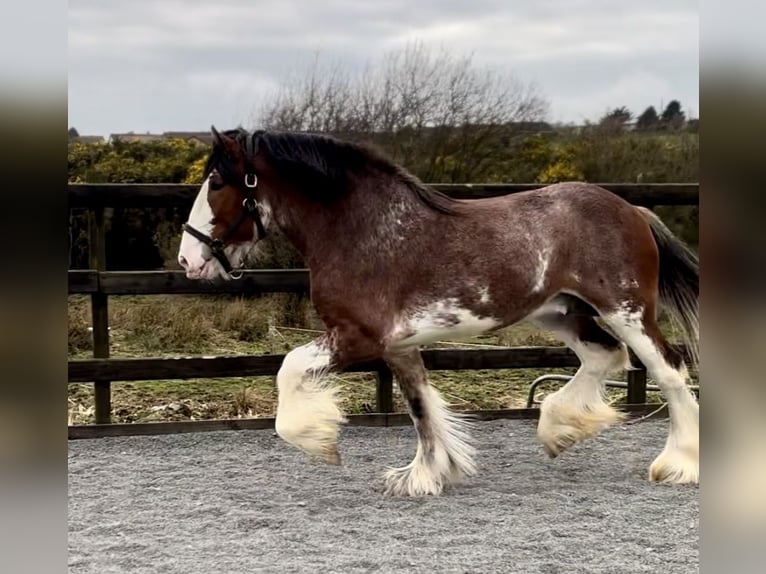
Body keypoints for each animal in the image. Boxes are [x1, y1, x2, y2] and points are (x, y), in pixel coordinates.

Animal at [176, 127, 704, 500]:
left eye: (217, 183)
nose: (187, 260)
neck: (361, 230)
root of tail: (633, 210)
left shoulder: (358, 337)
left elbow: (288, 371)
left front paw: (320, 442)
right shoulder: (397, 346)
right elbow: (420, 407)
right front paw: (426, 475)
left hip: (626, 310)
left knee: (669, 370)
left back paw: (680, 465)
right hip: (557, 312)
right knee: (604, 357)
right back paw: (559, 431)